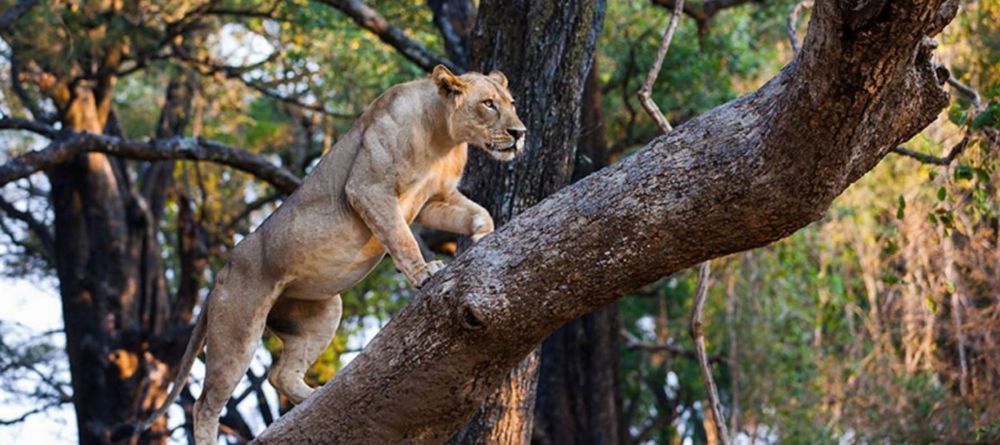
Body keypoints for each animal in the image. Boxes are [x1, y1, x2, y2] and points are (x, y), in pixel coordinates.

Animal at [117, 65, 526, 445]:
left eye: (511, 104)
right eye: (488, 104)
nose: (520, 133)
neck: (444, 136)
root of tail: (222, 272)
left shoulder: (433, 201)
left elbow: (479, 213)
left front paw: (484, 237)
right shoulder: (368, 188)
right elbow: (401, 237)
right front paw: (424, 272)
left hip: (323, 312)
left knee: (279, 374)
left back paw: (314, 397)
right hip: (237, 330)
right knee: (206, 404)